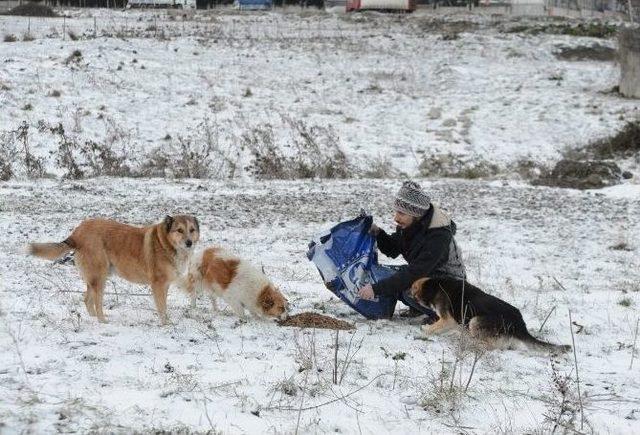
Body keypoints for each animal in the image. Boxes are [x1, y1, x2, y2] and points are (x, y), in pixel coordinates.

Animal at [28, 216, 199, 326]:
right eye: (179, 230)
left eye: (192, 230)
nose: (189, 243)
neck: (165, 243)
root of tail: (78, 231)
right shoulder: (157, 285)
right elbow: (162, 307)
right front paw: (166, 324)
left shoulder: (165, 285)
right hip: (100, 277)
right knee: (97, 301)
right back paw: (102, 320)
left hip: (95, 277)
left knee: (87, 299)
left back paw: (93, 318)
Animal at [410, 280, 568, 354]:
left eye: (412, 290)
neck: (434, 284)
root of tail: (520, 324)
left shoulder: (448, 319)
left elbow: (434, 327)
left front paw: (425, 329)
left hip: (475, 321)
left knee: (488, 345)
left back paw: (473, 344)